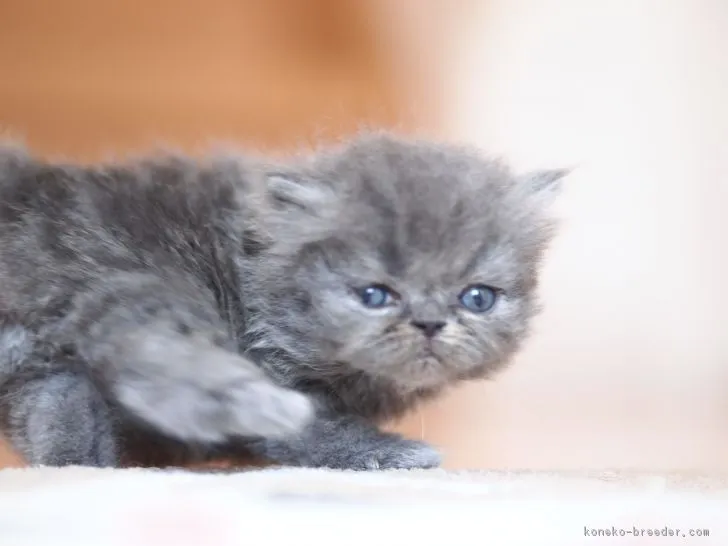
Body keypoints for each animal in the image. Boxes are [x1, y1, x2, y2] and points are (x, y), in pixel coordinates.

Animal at [0, 132, 564, 468]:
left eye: (477, 298)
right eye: (375, 295)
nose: (428, 322)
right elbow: (307, 432)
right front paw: (399, 454)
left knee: (58, 400)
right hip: (139, 286)